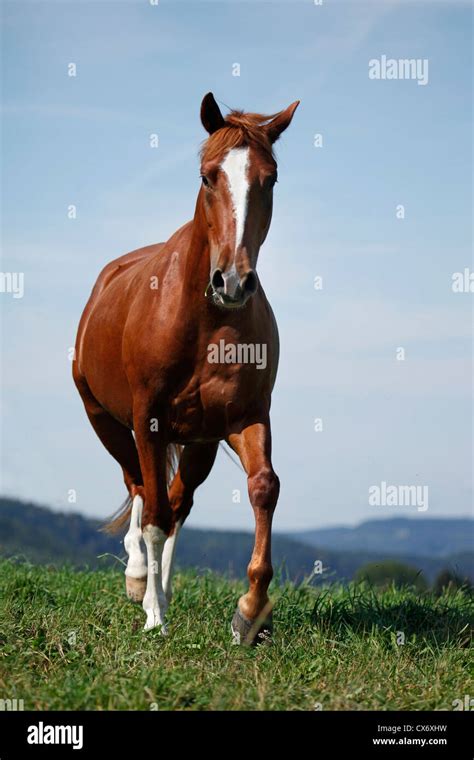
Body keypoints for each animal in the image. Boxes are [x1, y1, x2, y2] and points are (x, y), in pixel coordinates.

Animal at [73, 92, 299, 644]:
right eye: (207, 177)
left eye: (271, 178)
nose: (233, 281)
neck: (206, 320)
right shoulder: (148, 421)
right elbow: (153, 513)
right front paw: (154, 615)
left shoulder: (243, 419)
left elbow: (264, 487)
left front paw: (250, 610)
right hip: (106, 420)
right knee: (139, 488)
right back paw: (140, 581)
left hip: (199, 443)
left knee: (177, 503)